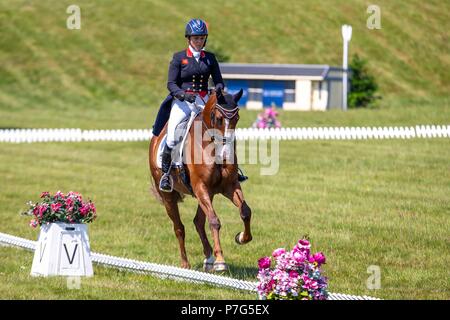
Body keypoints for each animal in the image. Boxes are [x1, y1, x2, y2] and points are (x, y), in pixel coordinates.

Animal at [149, 89, 251, 272]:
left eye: (237, 118)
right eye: (218, 118)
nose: (226, 156)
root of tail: (156, 138)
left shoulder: (229, 186)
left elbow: (245, 211)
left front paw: (241, 238)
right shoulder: (200, 186)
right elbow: (214, 221)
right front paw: (220, 261)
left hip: (208, 194)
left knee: (198, 221)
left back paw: (208, 258)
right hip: (169, 196)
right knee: (179, 227)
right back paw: (185, 264)